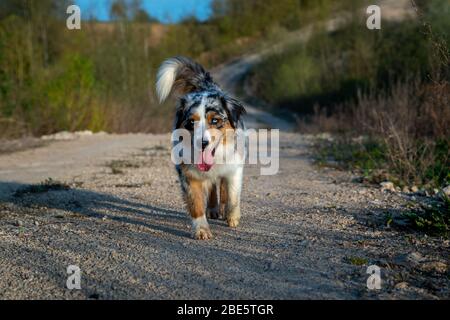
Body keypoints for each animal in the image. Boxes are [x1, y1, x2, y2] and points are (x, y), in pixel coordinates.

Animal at [155, 56, 246, 239]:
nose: (202, 143)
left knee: (222, 187)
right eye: (191, 122)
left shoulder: (235, 167)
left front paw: (232, 217)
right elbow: (195, 203)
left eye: (215, 120)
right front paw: (202, 230)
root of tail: (206, 85)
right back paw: (213, 209)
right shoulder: (188, 174)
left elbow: (233, 194)